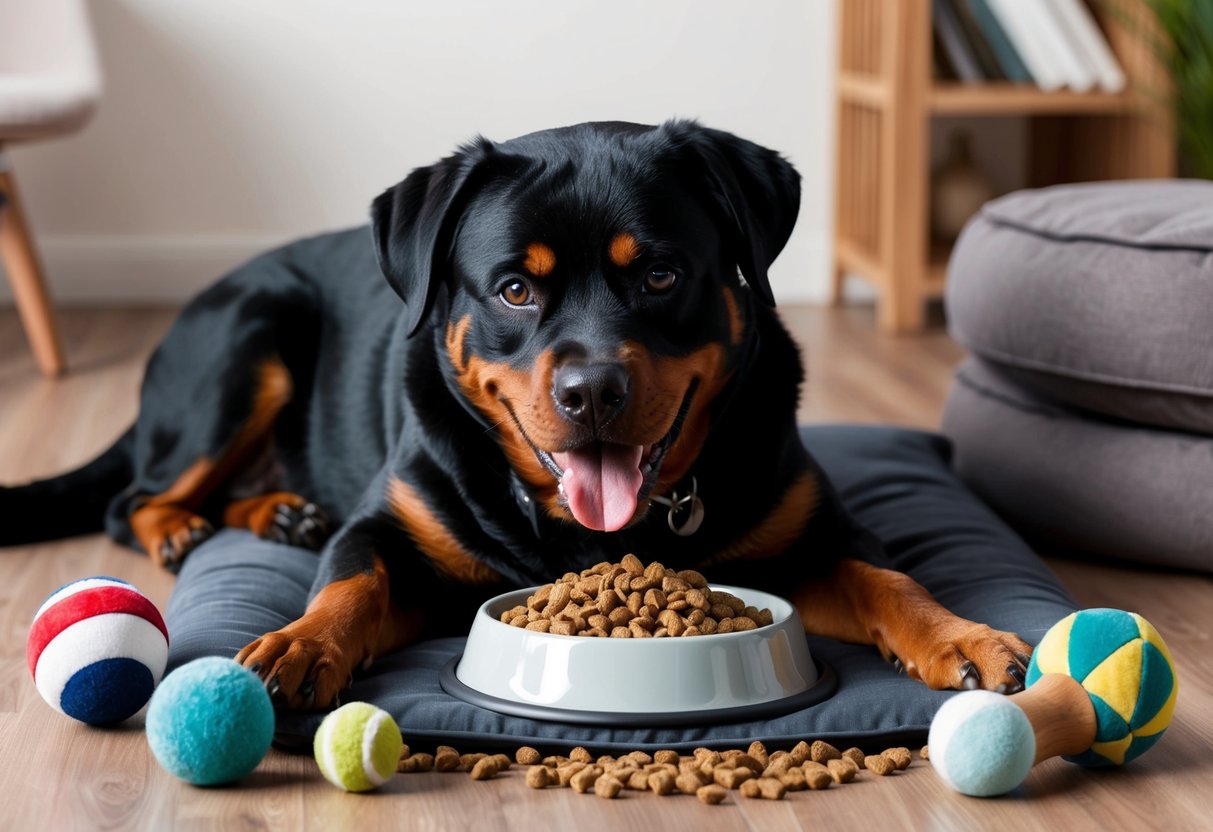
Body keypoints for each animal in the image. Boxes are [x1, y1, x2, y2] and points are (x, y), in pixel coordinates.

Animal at [2, 122, 1033, 708]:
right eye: (513, 289)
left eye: (660, 275)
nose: (591, 391)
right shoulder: (392, 527)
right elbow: (349, 581)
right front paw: (297, 644)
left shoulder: (813, 530)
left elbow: (887, 578)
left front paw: (963, 636)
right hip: (251, 335)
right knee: (133, 496)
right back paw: (192, 528)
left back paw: (279, 512)